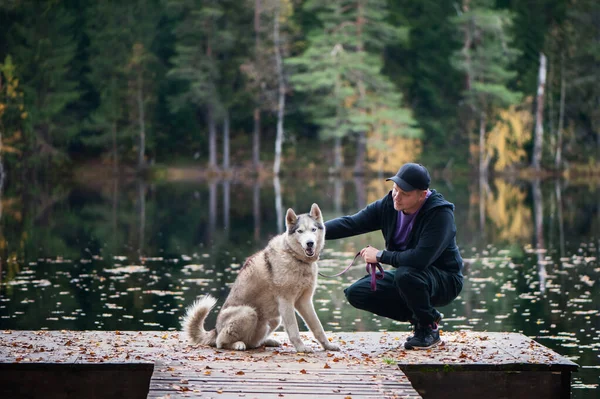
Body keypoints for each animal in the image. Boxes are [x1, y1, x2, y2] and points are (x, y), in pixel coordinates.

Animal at [183, 205, 340, 354]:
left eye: (313, 229)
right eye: (300, 231)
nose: (310, 243)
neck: (296, 259)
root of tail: (215, 329)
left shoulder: (304, 302)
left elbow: (318, 327)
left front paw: (328, 346)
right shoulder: (286, 302)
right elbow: (294, 330)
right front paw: (301, 348)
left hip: (274, 319)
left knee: (252, 343)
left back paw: (266, 341)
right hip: (249, 313)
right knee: (221, 342)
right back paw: (236, 344)